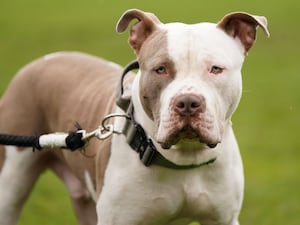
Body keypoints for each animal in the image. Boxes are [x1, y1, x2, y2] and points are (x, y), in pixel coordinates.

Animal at [0, 8, 270, 225]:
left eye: (215, 69)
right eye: (160, 69)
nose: (187, 103)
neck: (182, 160)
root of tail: (43, 60)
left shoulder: (223, 218)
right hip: (10, 184)